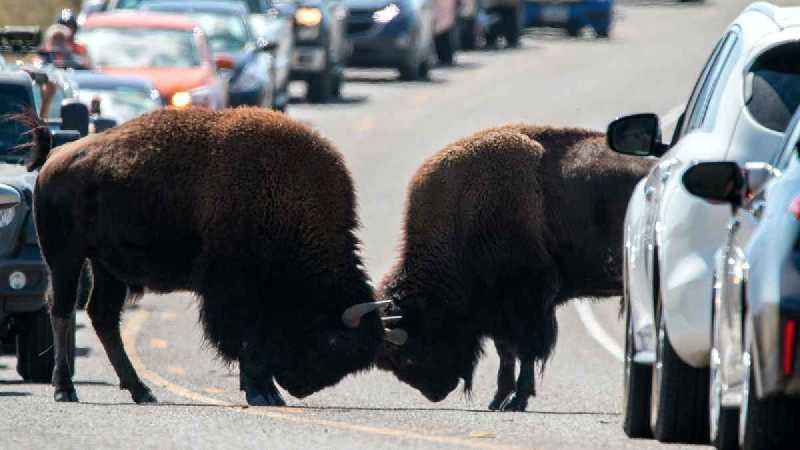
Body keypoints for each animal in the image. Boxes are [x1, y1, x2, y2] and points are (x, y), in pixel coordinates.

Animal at [31, 107, 400, 406]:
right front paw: (262, 392)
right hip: (65, 258)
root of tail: (57, 154)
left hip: (108, 267)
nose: (300, 387)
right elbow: (247, 342)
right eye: (335, 343)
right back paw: (65, 389)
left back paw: (141, 391)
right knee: (62, 309)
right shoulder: (235, 293)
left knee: (103, 317)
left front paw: (266, 391)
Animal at [372, 123, 652, 412]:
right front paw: (498, 399)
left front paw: (517, 399)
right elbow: (506, 351)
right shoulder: (503, 310)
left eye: (407, 354)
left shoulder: (527, 303)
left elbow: (525, 351)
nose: (435, 392)